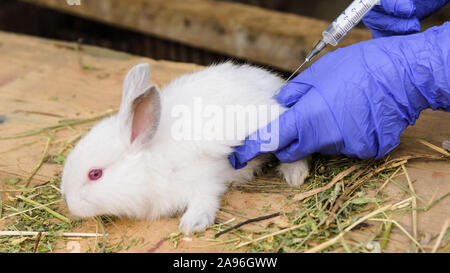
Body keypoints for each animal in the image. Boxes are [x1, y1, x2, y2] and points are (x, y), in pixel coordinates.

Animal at [60, 62, 310, 234]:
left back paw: (295, 175)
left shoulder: (205, 179)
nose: (67, 200)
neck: (152, 163)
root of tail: (275, 86)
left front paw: (192, 224)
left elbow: (206, 198)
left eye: (95, 174)